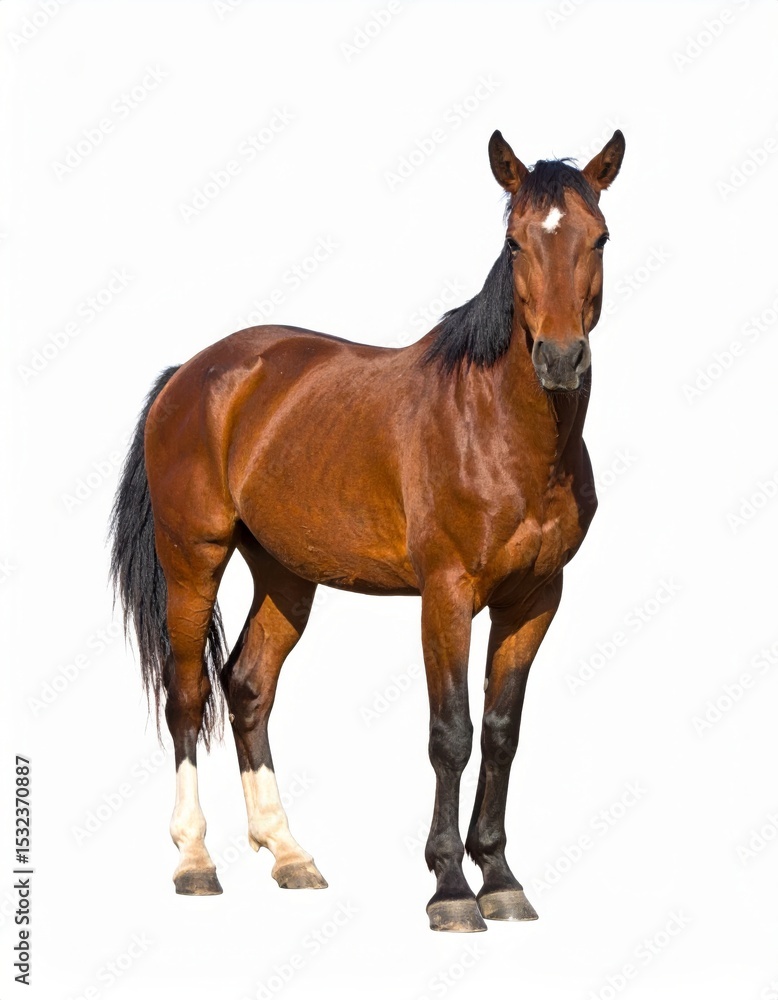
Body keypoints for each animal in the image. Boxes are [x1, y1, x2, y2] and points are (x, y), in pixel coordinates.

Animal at [110, 127, 625, 933]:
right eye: (513, 243)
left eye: (599, 237)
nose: (561, 359)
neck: (500, 431)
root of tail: (193, 373)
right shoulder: (446, 596)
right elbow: (452, 733)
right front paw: (450, 889)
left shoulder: (536, 599)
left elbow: (501, 734)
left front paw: (500, 878)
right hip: (194, 558)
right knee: (187, 692)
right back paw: (194, 860)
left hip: (286, 574)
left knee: (248, 686)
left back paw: (289, 852)